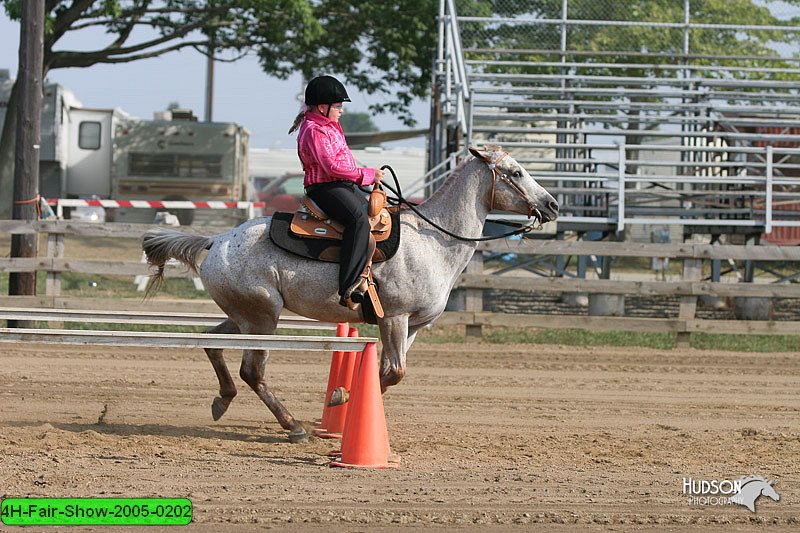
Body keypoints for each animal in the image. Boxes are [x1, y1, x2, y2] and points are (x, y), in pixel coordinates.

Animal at [142, 144, 556, 440]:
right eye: (516, 172)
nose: (551, 204)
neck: (432, 239)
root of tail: (215, 241)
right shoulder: (395, 318)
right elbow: (394, 372)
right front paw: (340, 400)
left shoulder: (413, 326)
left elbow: (386, 372)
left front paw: (342, 405)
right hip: (262, 318)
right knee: (252, 371)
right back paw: (293, 426)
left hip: (243, 316)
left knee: (212, 344)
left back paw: (223, 400)